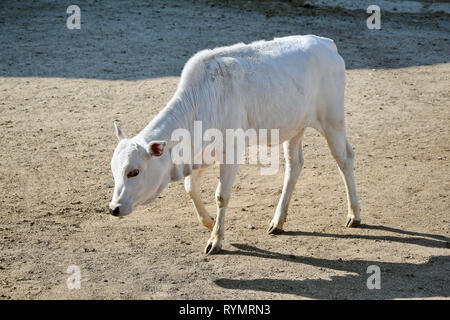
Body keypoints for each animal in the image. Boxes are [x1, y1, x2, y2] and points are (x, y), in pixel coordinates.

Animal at [110, 35, 362, 255]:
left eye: (134, 172)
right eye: (114, 171)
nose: (113, 208)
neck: (203, 99)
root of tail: (325, 42)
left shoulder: (232, 152)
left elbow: (221, 196)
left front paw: (216, 240)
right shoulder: (201, 154)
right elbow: (190, 187)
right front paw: (209, 222)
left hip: (332, 120)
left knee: (345, 159)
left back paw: (354, 215)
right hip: (295, 127)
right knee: (294, 165)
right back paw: (278, 221)